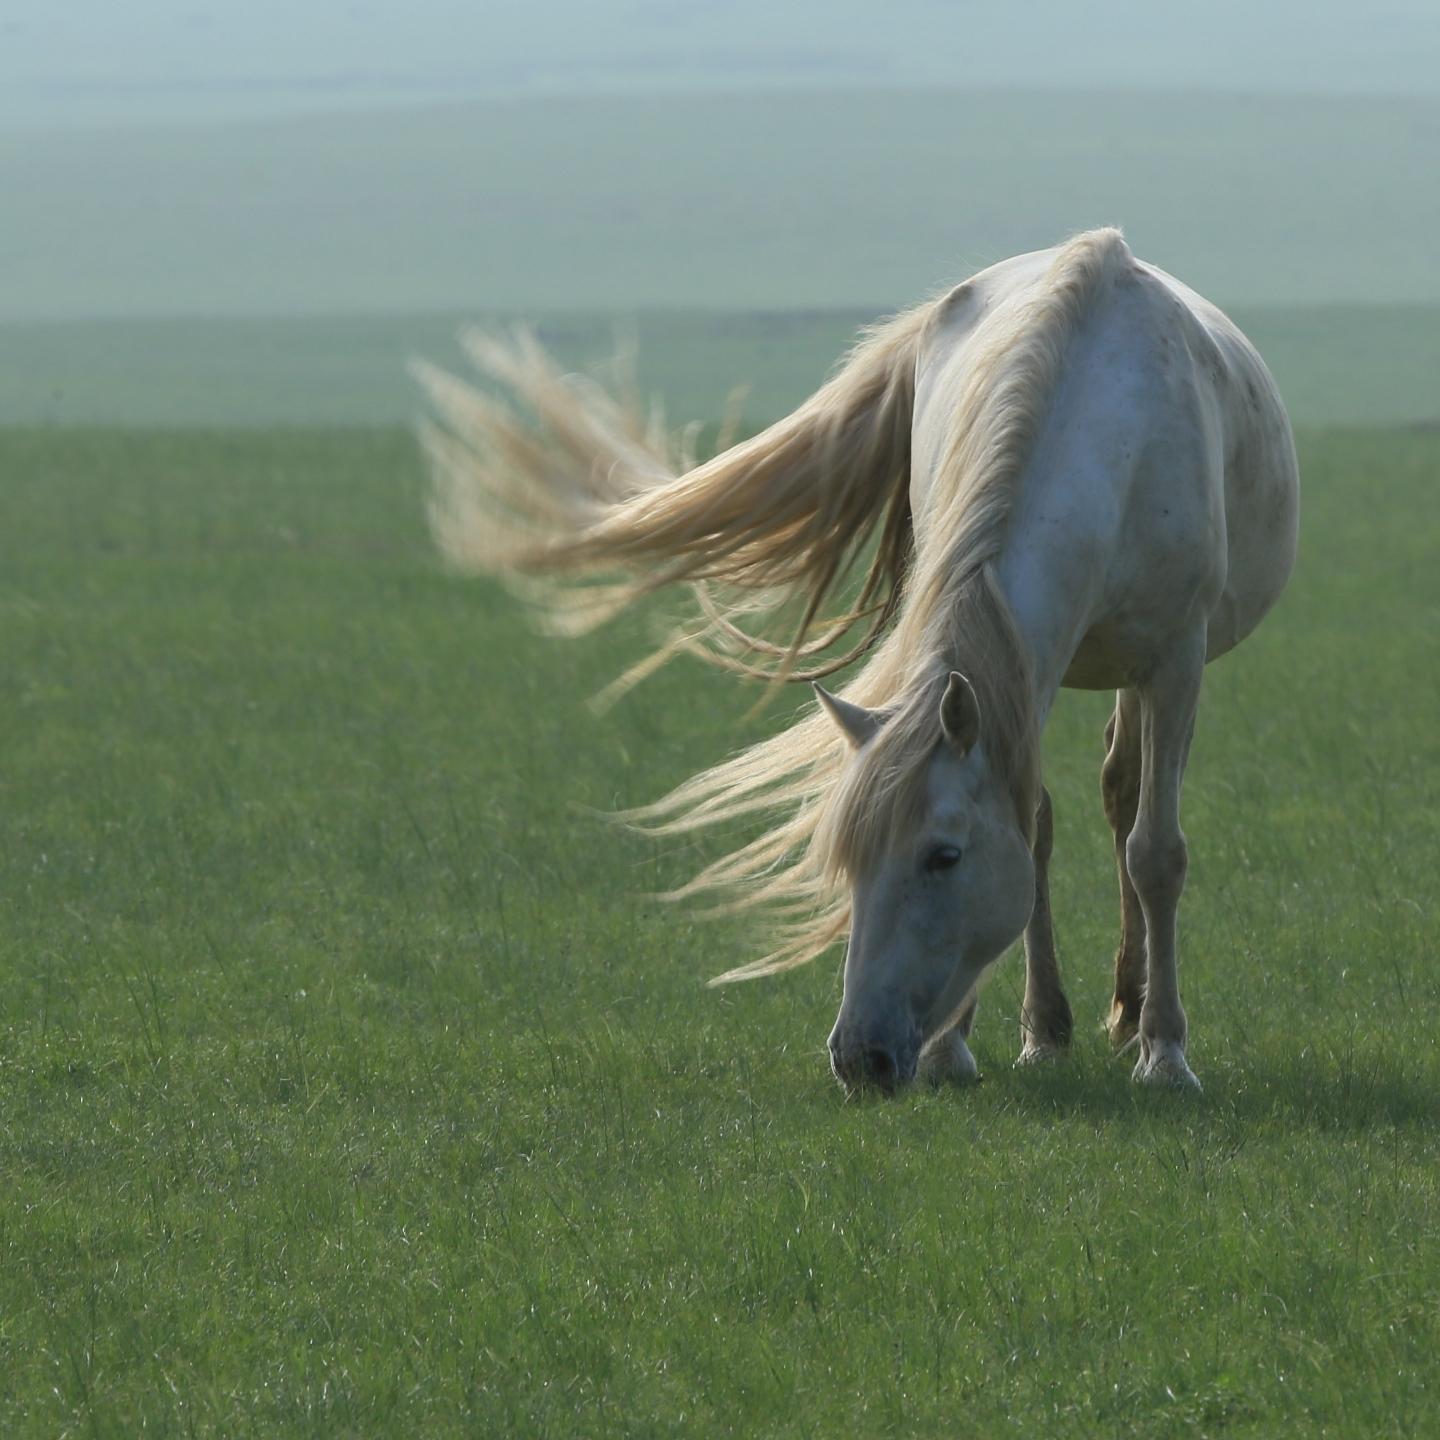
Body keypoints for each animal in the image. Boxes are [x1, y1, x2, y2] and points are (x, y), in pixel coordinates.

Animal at [415, 228, 1299, 1093]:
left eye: (943, 856)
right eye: (850, 859)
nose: (859, 1058)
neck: (1110, 429)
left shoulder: (1175, 663)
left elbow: (1157, 853)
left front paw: (1166, 1053)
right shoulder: (1018, 673)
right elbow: (1033, 825)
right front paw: (976, 1046)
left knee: (1125, 801)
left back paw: (1130, 1016)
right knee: (1075, 805)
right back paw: (1063, 1024)